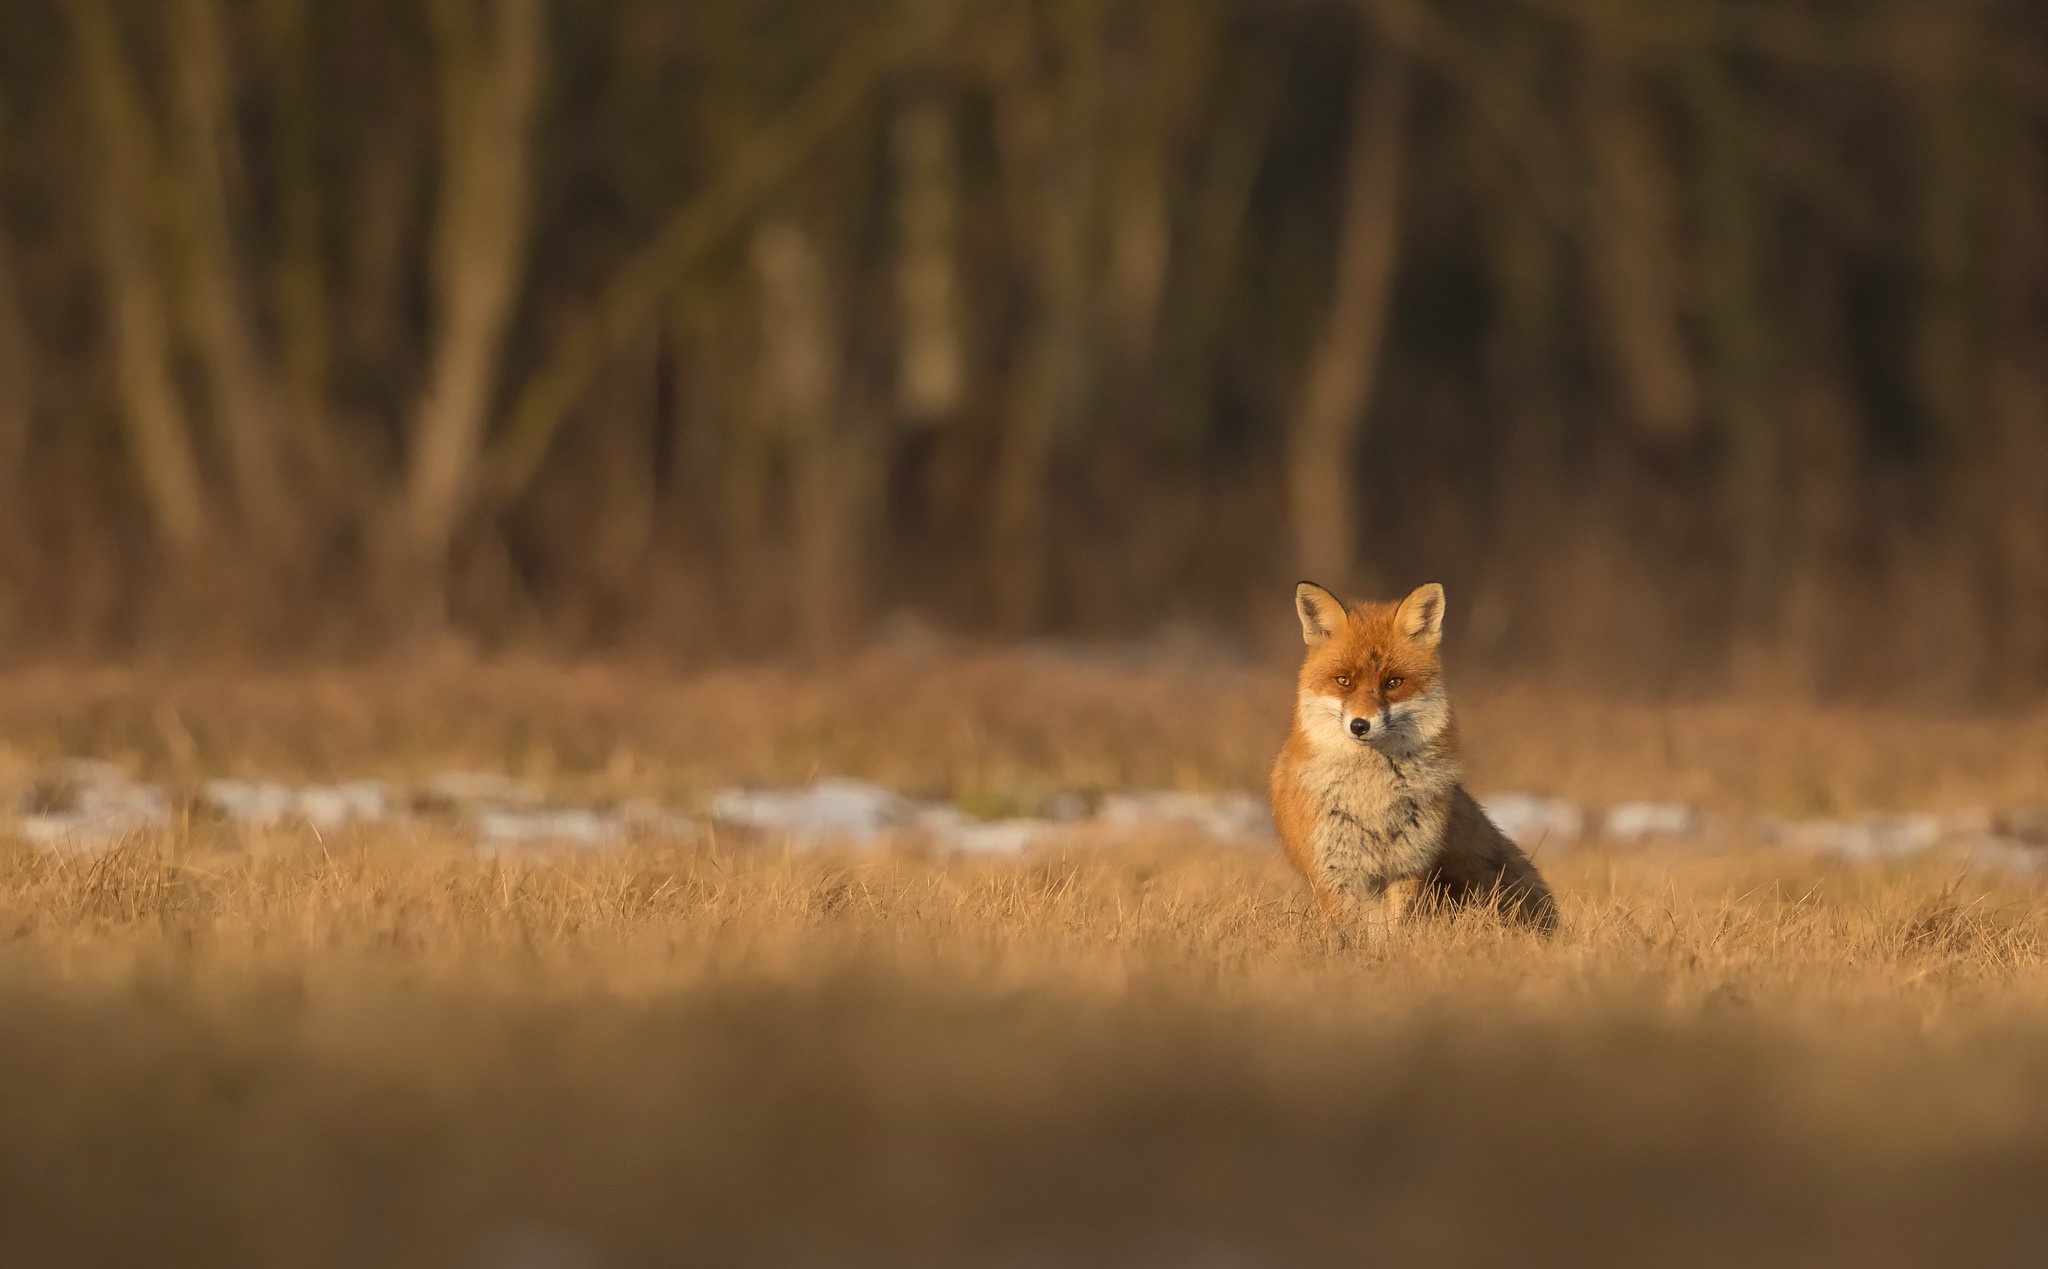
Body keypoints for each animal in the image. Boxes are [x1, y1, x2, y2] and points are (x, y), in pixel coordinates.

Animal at [1261, 581, 1548, 933]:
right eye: (1344, 681)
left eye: (1393, 682)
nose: (1360, 725)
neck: (1372, 799)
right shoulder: (1335, 871)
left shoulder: (1409, 865)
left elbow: (1394, 931)